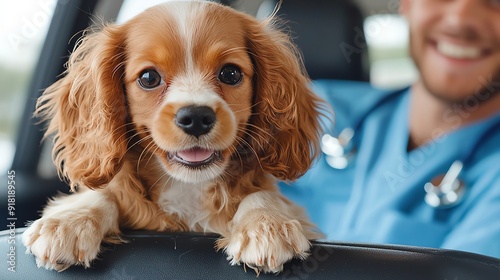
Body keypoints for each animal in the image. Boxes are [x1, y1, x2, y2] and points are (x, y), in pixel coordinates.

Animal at [23, 0, 326, 274]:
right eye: (148, 78)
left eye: (230, 73)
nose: (196, 117)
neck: (187, 187)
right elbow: (103, 193)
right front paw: (68, 222)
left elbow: (263, 194)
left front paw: (267, 224)